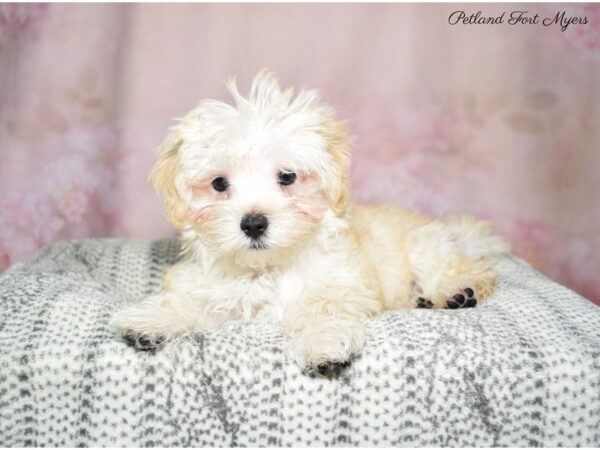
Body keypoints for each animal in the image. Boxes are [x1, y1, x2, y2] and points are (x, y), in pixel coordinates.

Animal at [110, 70, 508, 372]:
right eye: (219, 184)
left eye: (287, 177)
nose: (253, 224)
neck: (266, 270)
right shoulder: (213, 290)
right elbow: (189, 300)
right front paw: (151, 321)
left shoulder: (341, 282)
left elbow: (323, 305)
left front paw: (323, 343)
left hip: (425, 246)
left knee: (466, 268)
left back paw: (456, 291)